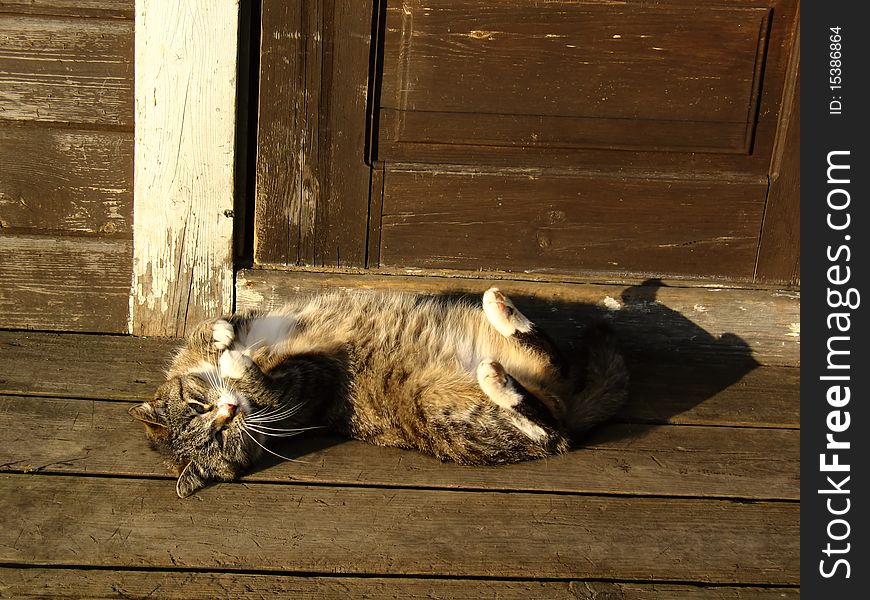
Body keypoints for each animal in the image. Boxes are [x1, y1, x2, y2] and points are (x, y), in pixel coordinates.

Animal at [131, 286, 628, 496]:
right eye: (221, 440)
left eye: (198, 408)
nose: (229, 410)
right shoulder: (313, 383)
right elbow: (268, 385)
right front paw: (235, 361)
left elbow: (206, 327)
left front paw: (220, 336)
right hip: (445, 411)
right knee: (549, 429)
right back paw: (499, 378)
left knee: (552, 361)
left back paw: (503, 313)